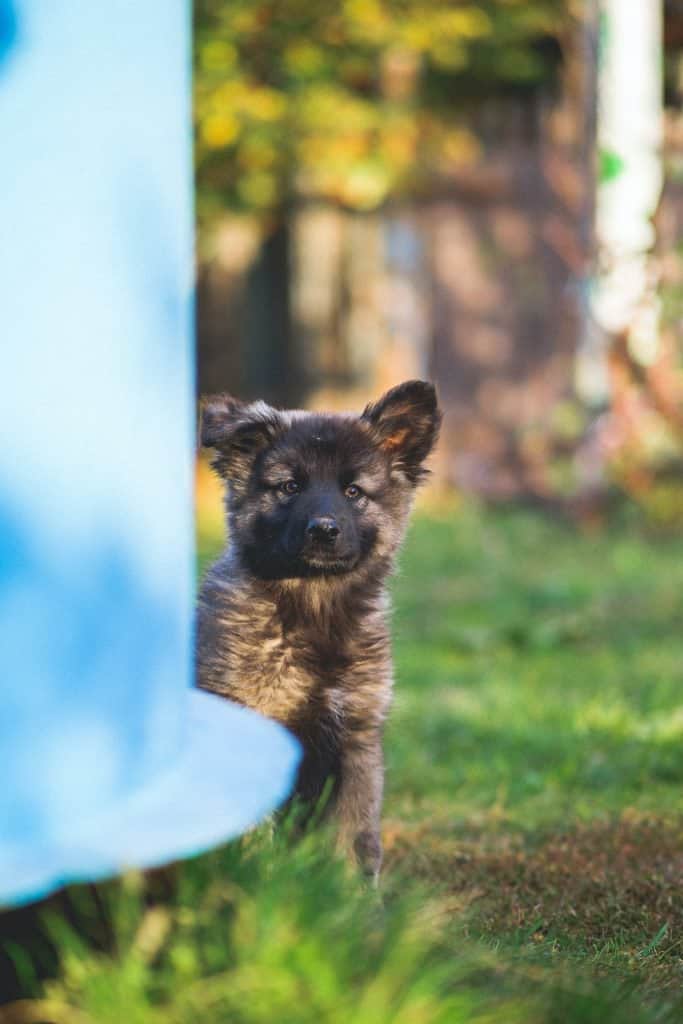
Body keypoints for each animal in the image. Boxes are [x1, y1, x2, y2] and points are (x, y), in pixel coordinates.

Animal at [196, 380, 444, 876]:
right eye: (290, 486)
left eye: (353, 491)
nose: (323, 530)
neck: (313, 610)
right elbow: (255, 838)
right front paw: (258, 880)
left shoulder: (356, 742)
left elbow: (353, 837)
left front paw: (351, 894)